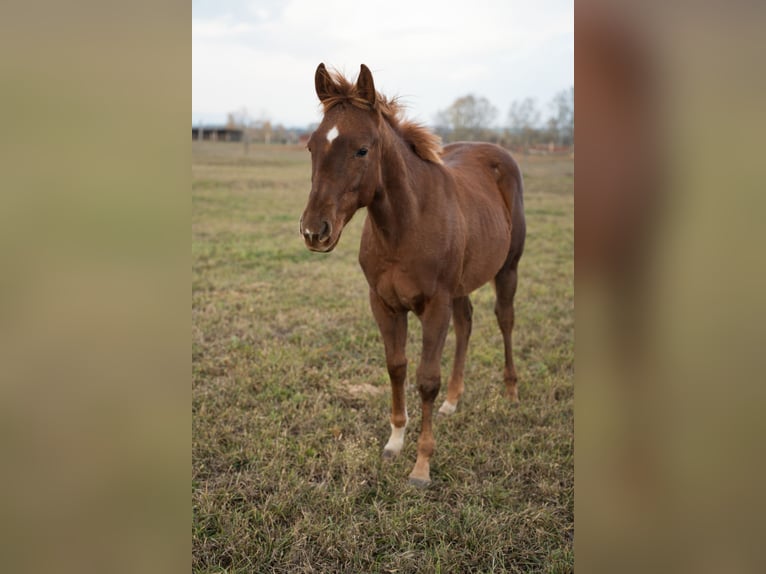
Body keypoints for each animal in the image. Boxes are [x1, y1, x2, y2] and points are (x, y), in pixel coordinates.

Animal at [300, 64, 526, 486]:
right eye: (311, 146)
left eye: (362, 149)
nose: (314, 231)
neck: (404, 227)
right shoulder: (384, 304)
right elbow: (396, 367)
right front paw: (394, 442)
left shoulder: (434, 306)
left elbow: (425, 379)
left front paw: (421, 466)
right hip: (461, 286)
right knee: (466, 323)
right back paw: (453, 402)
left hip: (508, 269)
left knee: (505, 320)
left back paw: (511, 392)